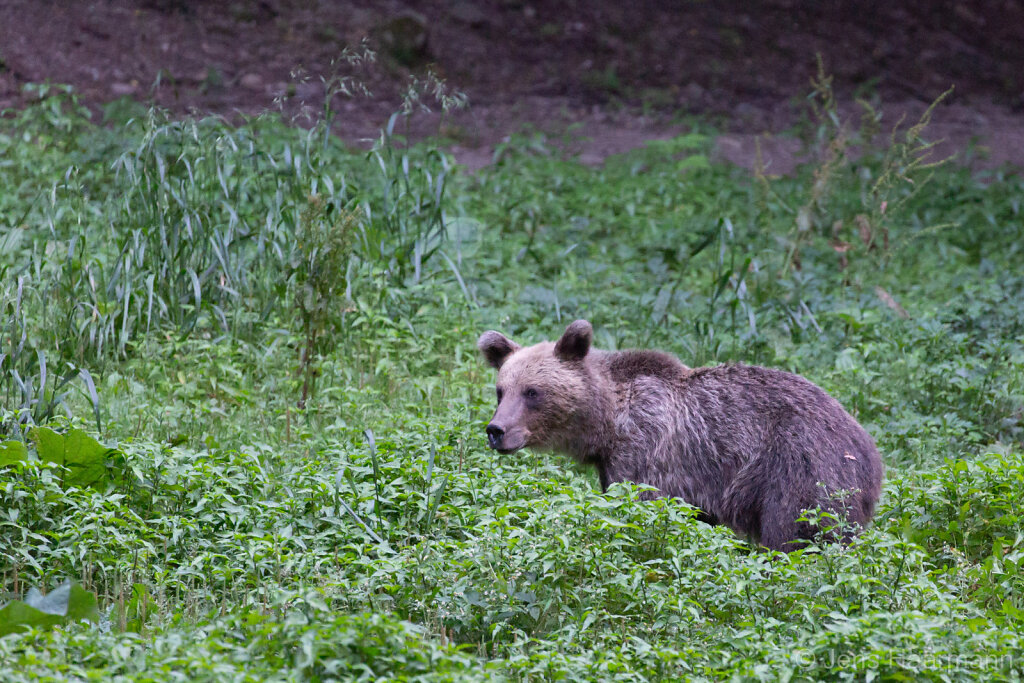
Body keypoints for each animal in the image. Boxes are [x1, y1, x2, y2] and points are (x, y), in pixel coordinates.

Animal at [475, 319, 884, 548]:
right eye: (501, 390)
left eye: (532, 392)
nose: (497, 430)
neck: (609, 422)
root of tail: (871, 451)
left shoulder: (647, 454)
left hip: (801, 470)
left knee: (797, 535)